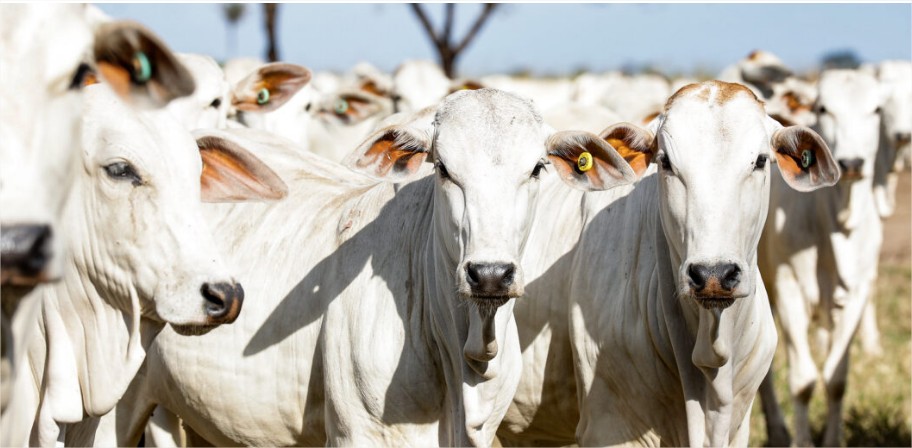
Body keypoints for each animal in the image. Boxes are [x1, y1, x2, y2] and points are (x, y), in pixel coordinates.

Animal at [759, 68, 885, 447]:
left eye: (877, 109)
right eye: (823, 108)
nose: (853, 163)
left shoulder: (857, 292)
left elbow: (836, 379)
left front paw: (833, 440)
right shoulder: (788, 287)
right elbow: (803, 381)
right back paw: (778, 429)